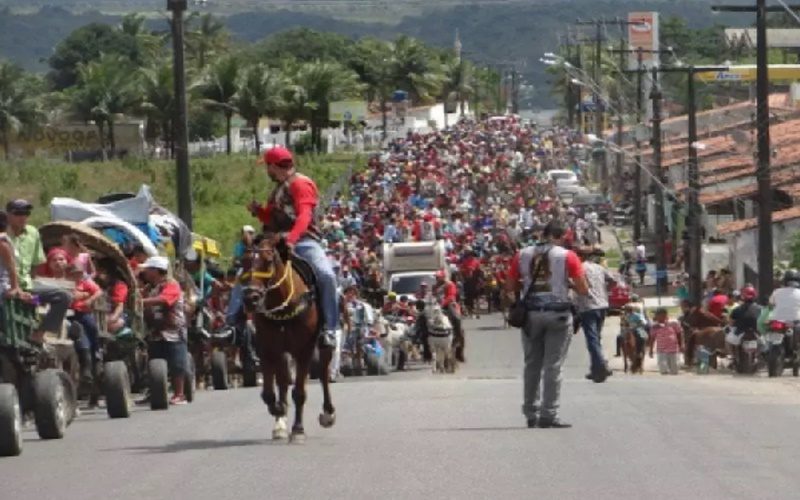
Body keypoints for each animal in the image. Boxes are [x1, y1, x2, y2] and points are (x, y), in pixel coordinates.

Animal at [241, 234, 334, 442]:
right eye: (243, 262)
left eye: (268, 262)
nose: (251, 298)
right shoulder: (267, 349)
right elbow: (268, 393)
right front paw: (279, 411)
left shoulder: (304, 350)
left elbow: (299, 392)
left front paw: (298, 430)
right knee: (283, 381)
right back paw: (280, 423)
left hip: (322, 346)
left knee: (323, 372)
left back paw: (328, 413)